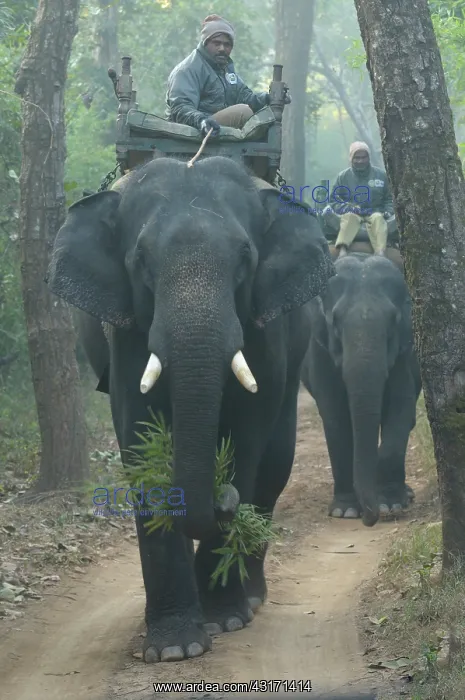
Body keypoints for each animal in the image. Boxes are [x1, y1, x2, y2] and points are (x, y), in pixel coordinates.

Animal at [46, 155, 334, 662]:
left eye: (245, 257)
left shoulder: (265, 328)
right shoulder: (126, 332)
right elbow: (139, 437)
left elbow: (247, 436)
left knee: (275, 466)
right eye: (141, 260)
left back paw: (250, 598)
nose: (223, 498)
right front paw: (175, 649)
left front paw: (224, 620)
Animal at [300, 252, 421, 526]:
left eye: (394, 320)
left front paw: (390, 504)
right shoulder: (319, 350)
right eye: (335, 321)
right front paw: (345, 512)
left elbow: (401, 404)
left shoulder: (404, 350)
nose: (369, 518)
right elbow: (335, 416)